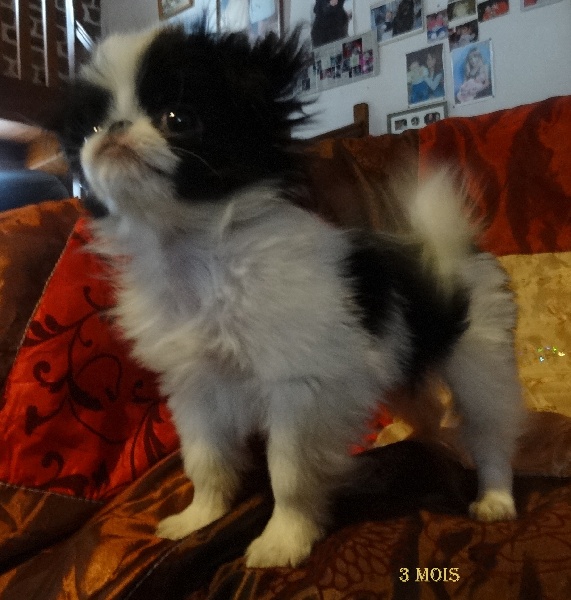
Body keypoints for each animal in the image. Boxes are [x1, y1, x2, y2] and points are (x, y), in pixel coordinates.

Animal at [58, 24, 524, 568]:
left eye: (179, 119)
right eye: (90, 129)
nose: (113, 129)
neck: (199, 254)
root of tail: (446, 250)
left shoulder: (298, 387)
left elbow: (290, 474)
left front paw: (284, 540)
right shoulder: (196, 388)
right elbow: (206, 460)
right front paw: (200, 517)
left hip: (479, 363)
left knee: (491, 432)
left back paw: (494, 499)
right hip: (402, 373)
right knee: (427, 410)